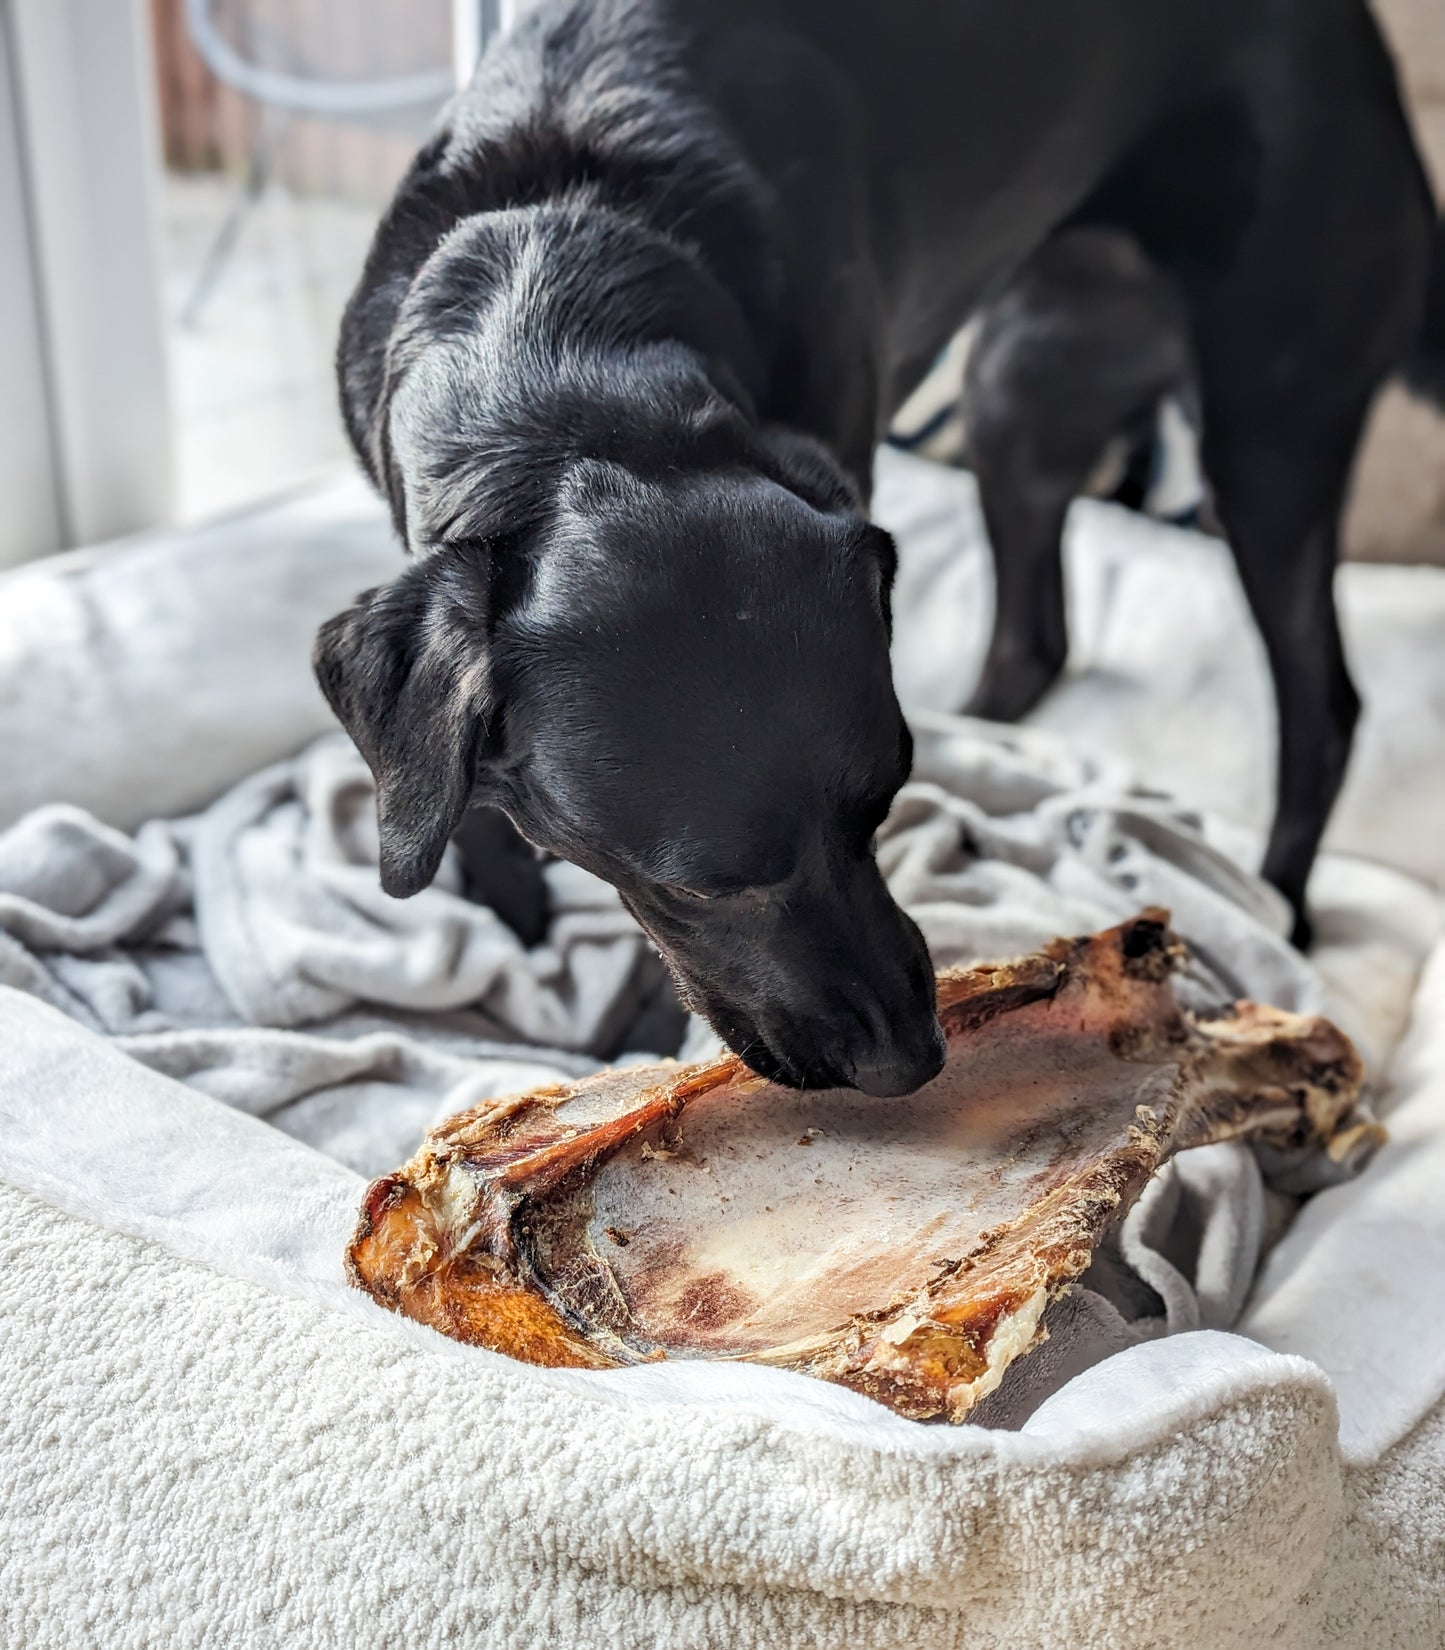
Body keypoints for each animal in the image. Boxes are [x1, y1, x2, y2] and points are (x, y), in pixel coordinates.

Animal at [316, 3, 1445, 1095]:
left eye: (882, 806)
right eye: (702, 886)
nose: (909, 1064)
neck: (560, 308)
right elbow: (450, 787)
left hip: (1267, 434)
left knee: (1322, 707)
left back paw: (1278, 906)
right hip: (1018, 387)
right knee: (1036, 636)